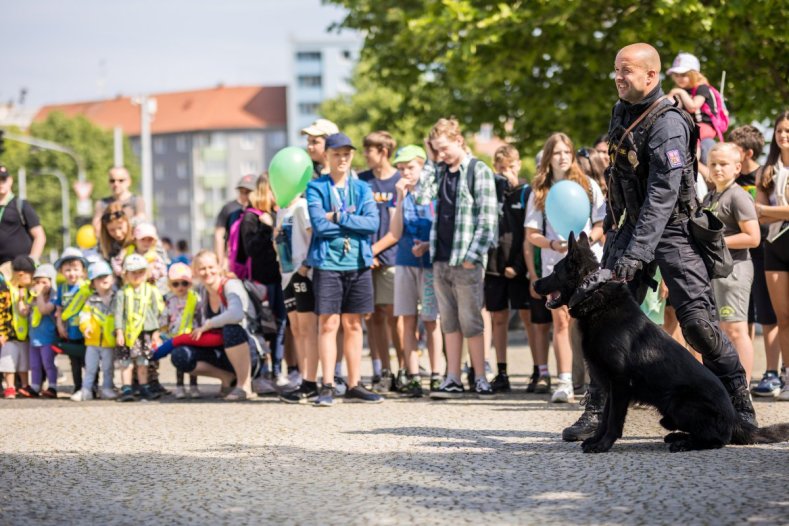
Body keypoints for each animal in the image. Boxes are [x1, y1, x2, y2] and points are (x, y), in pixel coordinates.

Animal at [532, 232, 788, 454]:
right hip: (669, 412)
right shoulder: (610, 385)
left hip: (679, 402)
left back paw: (684, 443)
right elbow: (604, 416)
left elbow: (614, 419)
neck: (594, 292)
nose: (534, 284)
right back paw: (678, 436)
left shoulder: (620, 383)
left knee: (718, 439)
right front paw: (595, 439)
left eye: (555, 271)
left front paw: (603, 445)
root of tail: (734, 419)